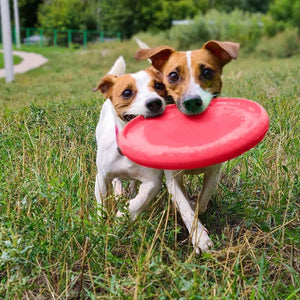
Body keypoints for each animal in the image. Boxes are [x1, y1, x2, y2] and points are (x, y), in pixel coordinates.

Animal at [94, 56, 166, 218]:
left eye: (159, 85)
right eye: (127, 93)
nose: (155, 102)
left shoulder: (152, 181)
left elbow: (139, 201)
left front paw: (122, 217)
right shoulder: (101, 177)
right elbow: (102, 204)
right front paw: (101, 221)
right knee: (117, 180)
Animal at [135, 39, 239, 253]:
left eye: (207, 72)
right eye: (173, 76)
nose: (192, 102)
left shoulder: (214, 172)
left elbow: (203, 200)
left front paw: (198, 209)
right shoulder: (172, 177)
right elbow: (184, 207)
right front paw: (200, 238)